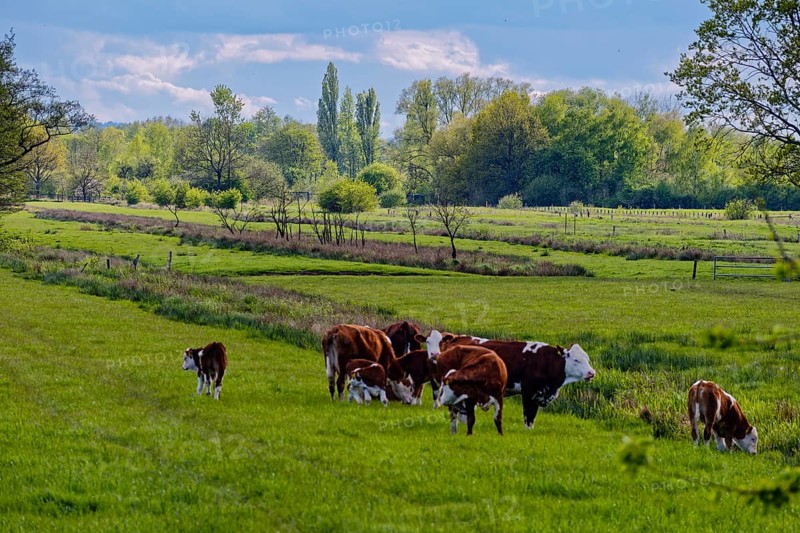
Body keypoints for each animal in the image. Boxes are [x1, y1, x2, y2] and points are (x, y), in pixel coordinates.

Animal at [416, 330, 596, 430]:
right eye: (576, 360)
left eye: (587, 358)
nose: (591, 373)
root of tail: (457, 340)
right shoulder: (528, 393)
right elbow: (528, 416)